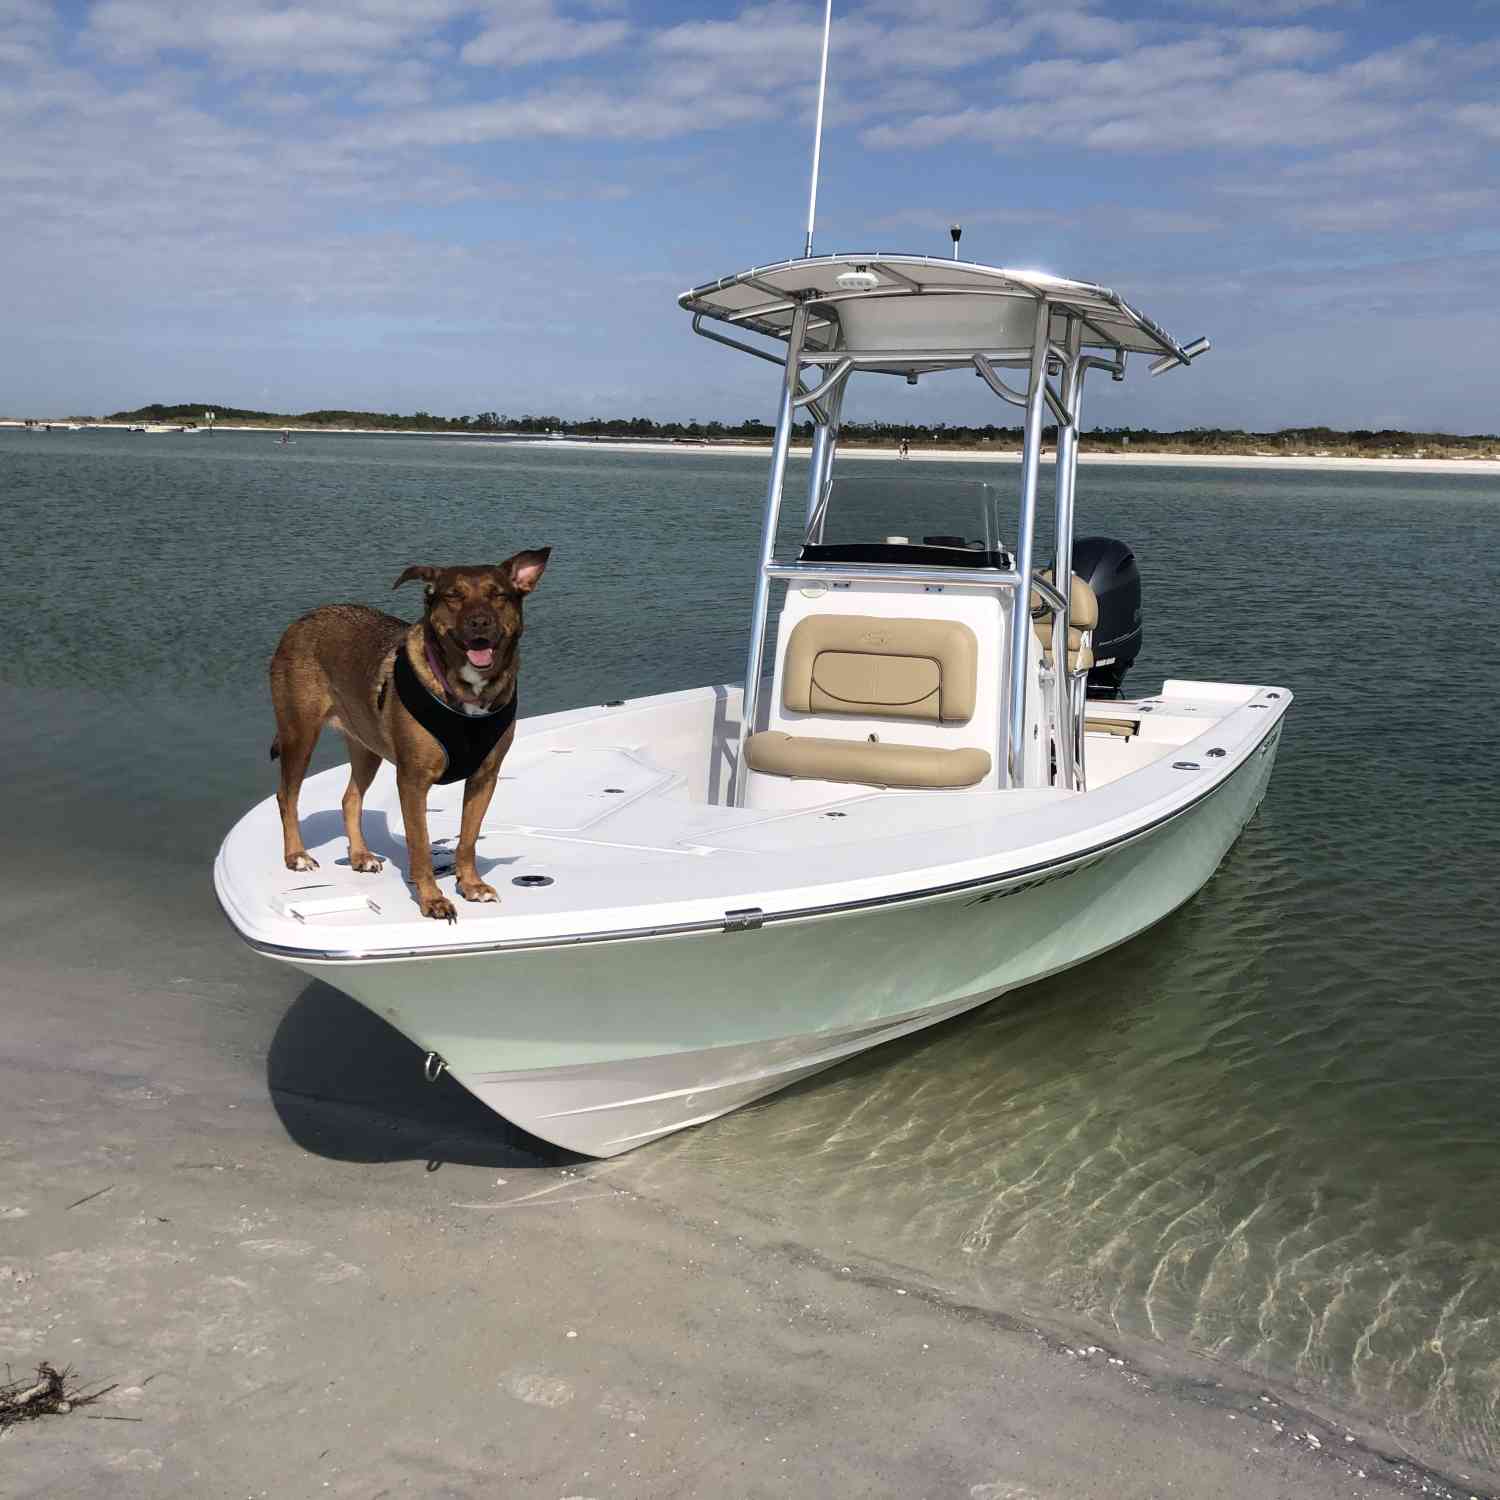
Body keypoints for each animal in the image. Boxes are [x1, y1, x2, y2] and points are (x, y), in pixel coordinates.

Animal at [270, 552, 552, 918]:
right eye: (453, 596)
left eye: (498, 595)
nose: (479, 622)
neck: (467, 692)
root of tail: (304, 620)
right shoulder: (413, 781)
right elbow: (419, 846)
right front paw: (432, 900)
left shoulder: (484, 778)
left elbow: (468, 839)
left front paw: (471, 886)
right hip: (299, 733)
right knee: (286, 795)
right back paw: (297, 855)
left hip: (366, 745)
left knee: (350, 798)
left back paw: (360, 856)